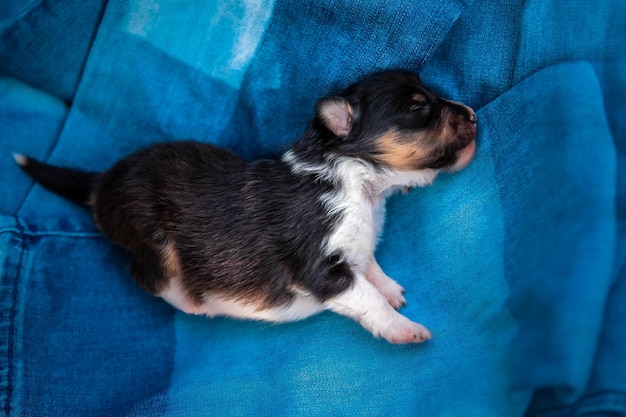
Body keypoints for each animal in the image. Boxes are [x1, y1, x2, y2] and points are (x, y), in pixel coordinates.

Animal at [13, 72, 472, 344]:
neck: (360, 180)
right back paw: (193, 302)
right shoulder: (319, 266)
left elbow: (370, 266)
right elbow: (366, 297)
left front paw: (389, 287)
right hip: (152, 236)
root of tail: (103, 181)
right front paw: (406, 329)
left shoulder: (357, 245)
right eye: (419, 107)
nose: (471, 113)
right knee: (146, 276)